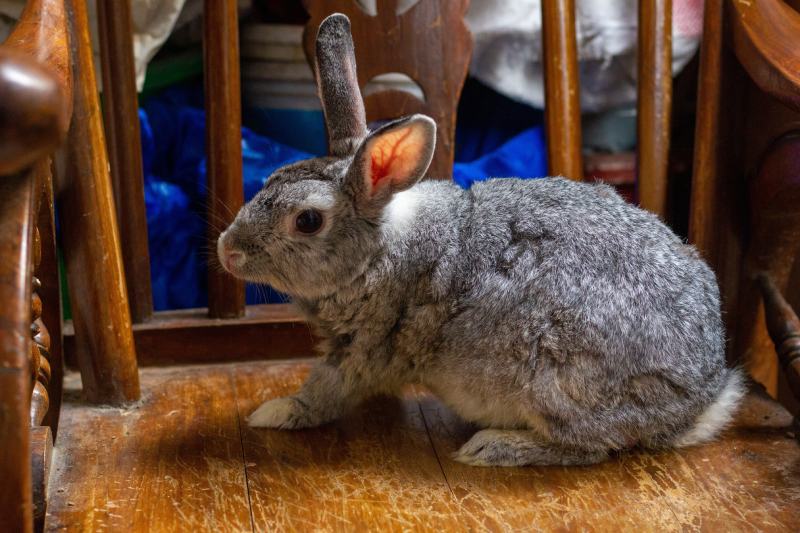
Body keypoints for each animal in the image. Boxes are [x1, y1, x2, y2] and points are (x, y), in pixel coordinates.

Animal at [217, 12, 744, 466]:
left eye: (307, 220)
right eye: (270, 178)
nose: (227, 250)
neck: (380, 250)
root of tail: (701, 400)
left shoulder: (363, 350)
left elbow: (324, 392)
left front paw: (274, 412)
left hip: (554, 379)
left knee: (588, 447)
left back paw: (494, 447)